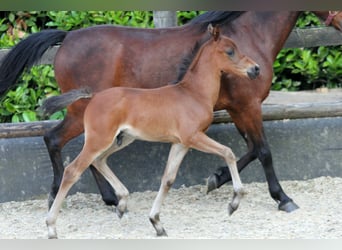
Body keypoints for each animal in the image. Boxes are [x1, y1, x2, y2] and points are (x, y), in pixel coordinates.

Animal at [42, 25, 260, 238]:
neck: (193, 93)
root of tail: (94, 96)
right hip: (99, 139)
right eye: (230, 51)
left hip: (123, 139)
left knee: (99, 160)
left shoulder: (180, 143)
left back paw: (121, 204)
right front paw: (234, 202)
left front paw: (156, 222)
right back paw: (51, 226)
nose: (256, 69)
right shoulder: (193, 137)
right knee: (73, 170)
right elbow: (228, 152)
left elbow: (168, 179)